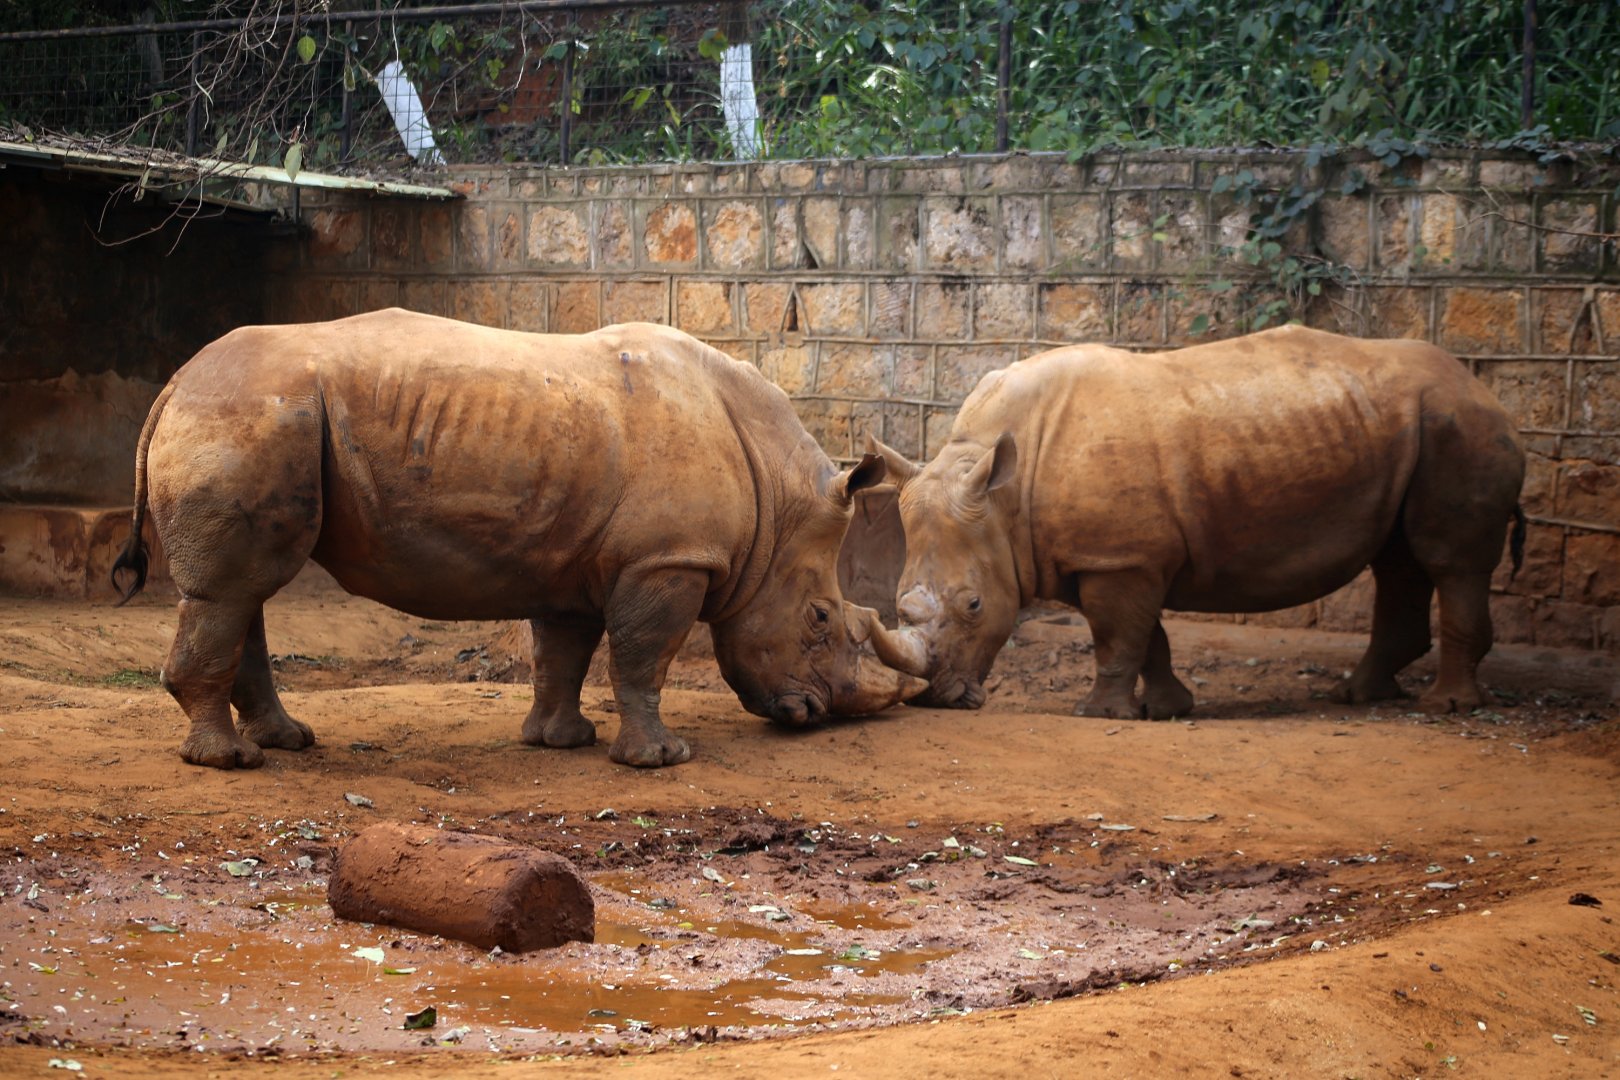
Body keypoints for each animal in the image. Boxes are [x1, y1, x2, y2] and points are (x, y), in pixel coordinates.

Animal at [112, 309, 926, 769]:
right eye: (820, 620)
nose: (819, 715)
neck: (775, 500)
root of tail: (176, 381)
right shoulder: (667, 560)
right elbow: (644, 655)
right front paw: (660, 760)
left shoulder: (577, 560)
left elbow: (561, 652)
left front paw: (561, 743)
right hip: (251, 414)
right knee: (232, 589)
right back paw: (227, 763)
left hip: (259, 414)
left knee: (244, 590)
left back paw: (287, 742)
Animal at [865, 325, 1527, 719]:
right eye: (897, 603)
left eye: (975, 605)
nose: (938, 701)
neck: (1001, 500)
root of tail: (1485, 389)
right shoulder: (1111, 555)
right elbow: (1146, 636)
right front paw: (1169, 709)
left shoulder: (1117, 558)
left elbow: (1117, 634)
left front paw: (1100, 714)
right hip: (1415, 429)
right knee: (1397, 560)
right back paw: (1359, 696)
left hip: (1459, 425)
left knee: (1448, 561)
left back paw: (1447, 707)